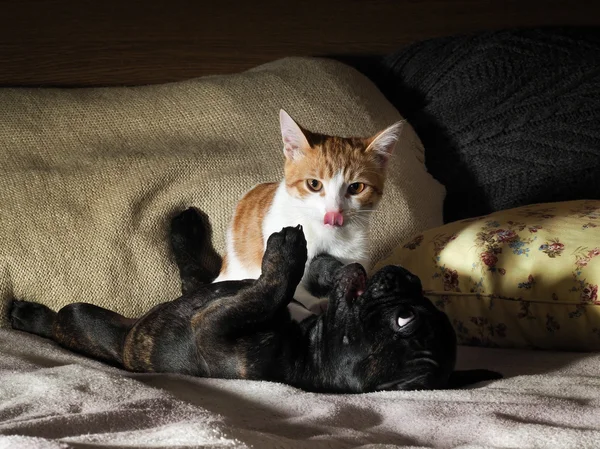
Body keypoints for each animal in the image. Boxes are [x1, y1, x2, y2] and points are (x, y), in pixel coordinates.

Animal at [9, 207, 502, 392]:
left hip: (93, 322)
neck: (309, 347)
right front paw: (326, 266)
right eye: (414, 300)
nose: (407, 277)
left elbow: (267, 292)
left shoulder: (215, 332)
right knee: (195, 275)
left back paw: (27, 314)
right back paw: (186, 225)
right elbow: (311, 281)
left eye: (403, 320)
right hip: (205, 285)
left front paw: (288, 255)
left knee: (66, 321)